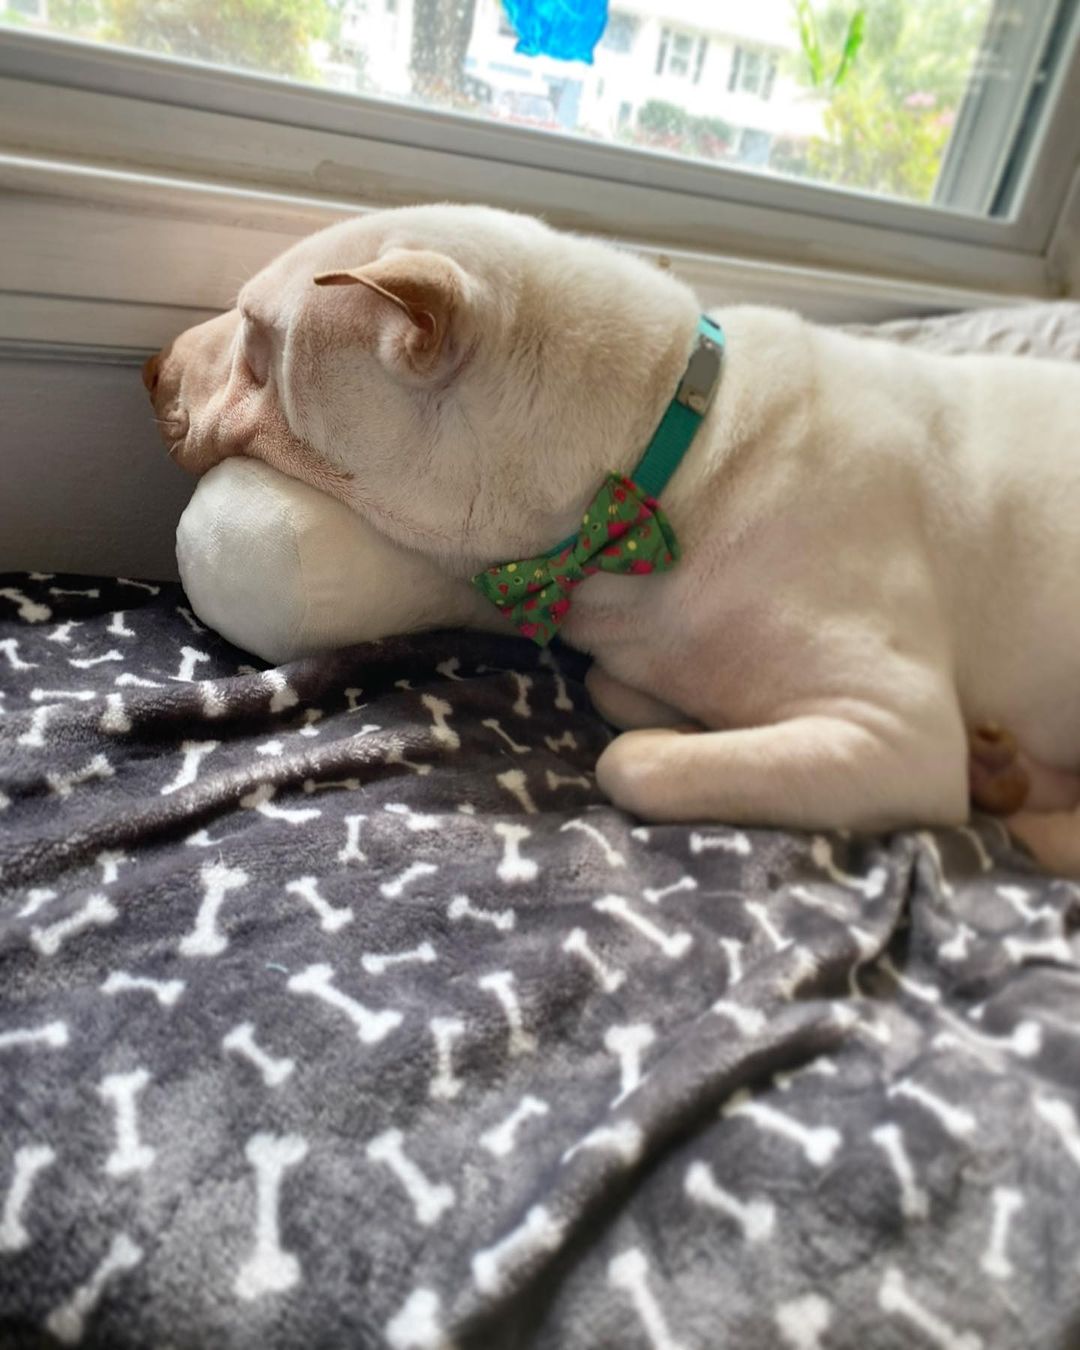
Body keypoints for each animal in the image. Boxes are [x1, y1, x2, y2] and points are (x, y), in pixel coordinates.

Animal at [145, 201, 1080, 874]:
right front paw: (692, 710)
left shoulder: (902, 735)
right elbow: (617, 691)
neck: (664, 471)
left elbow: (632, 761)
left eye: (258, 347)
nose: (150, 369)